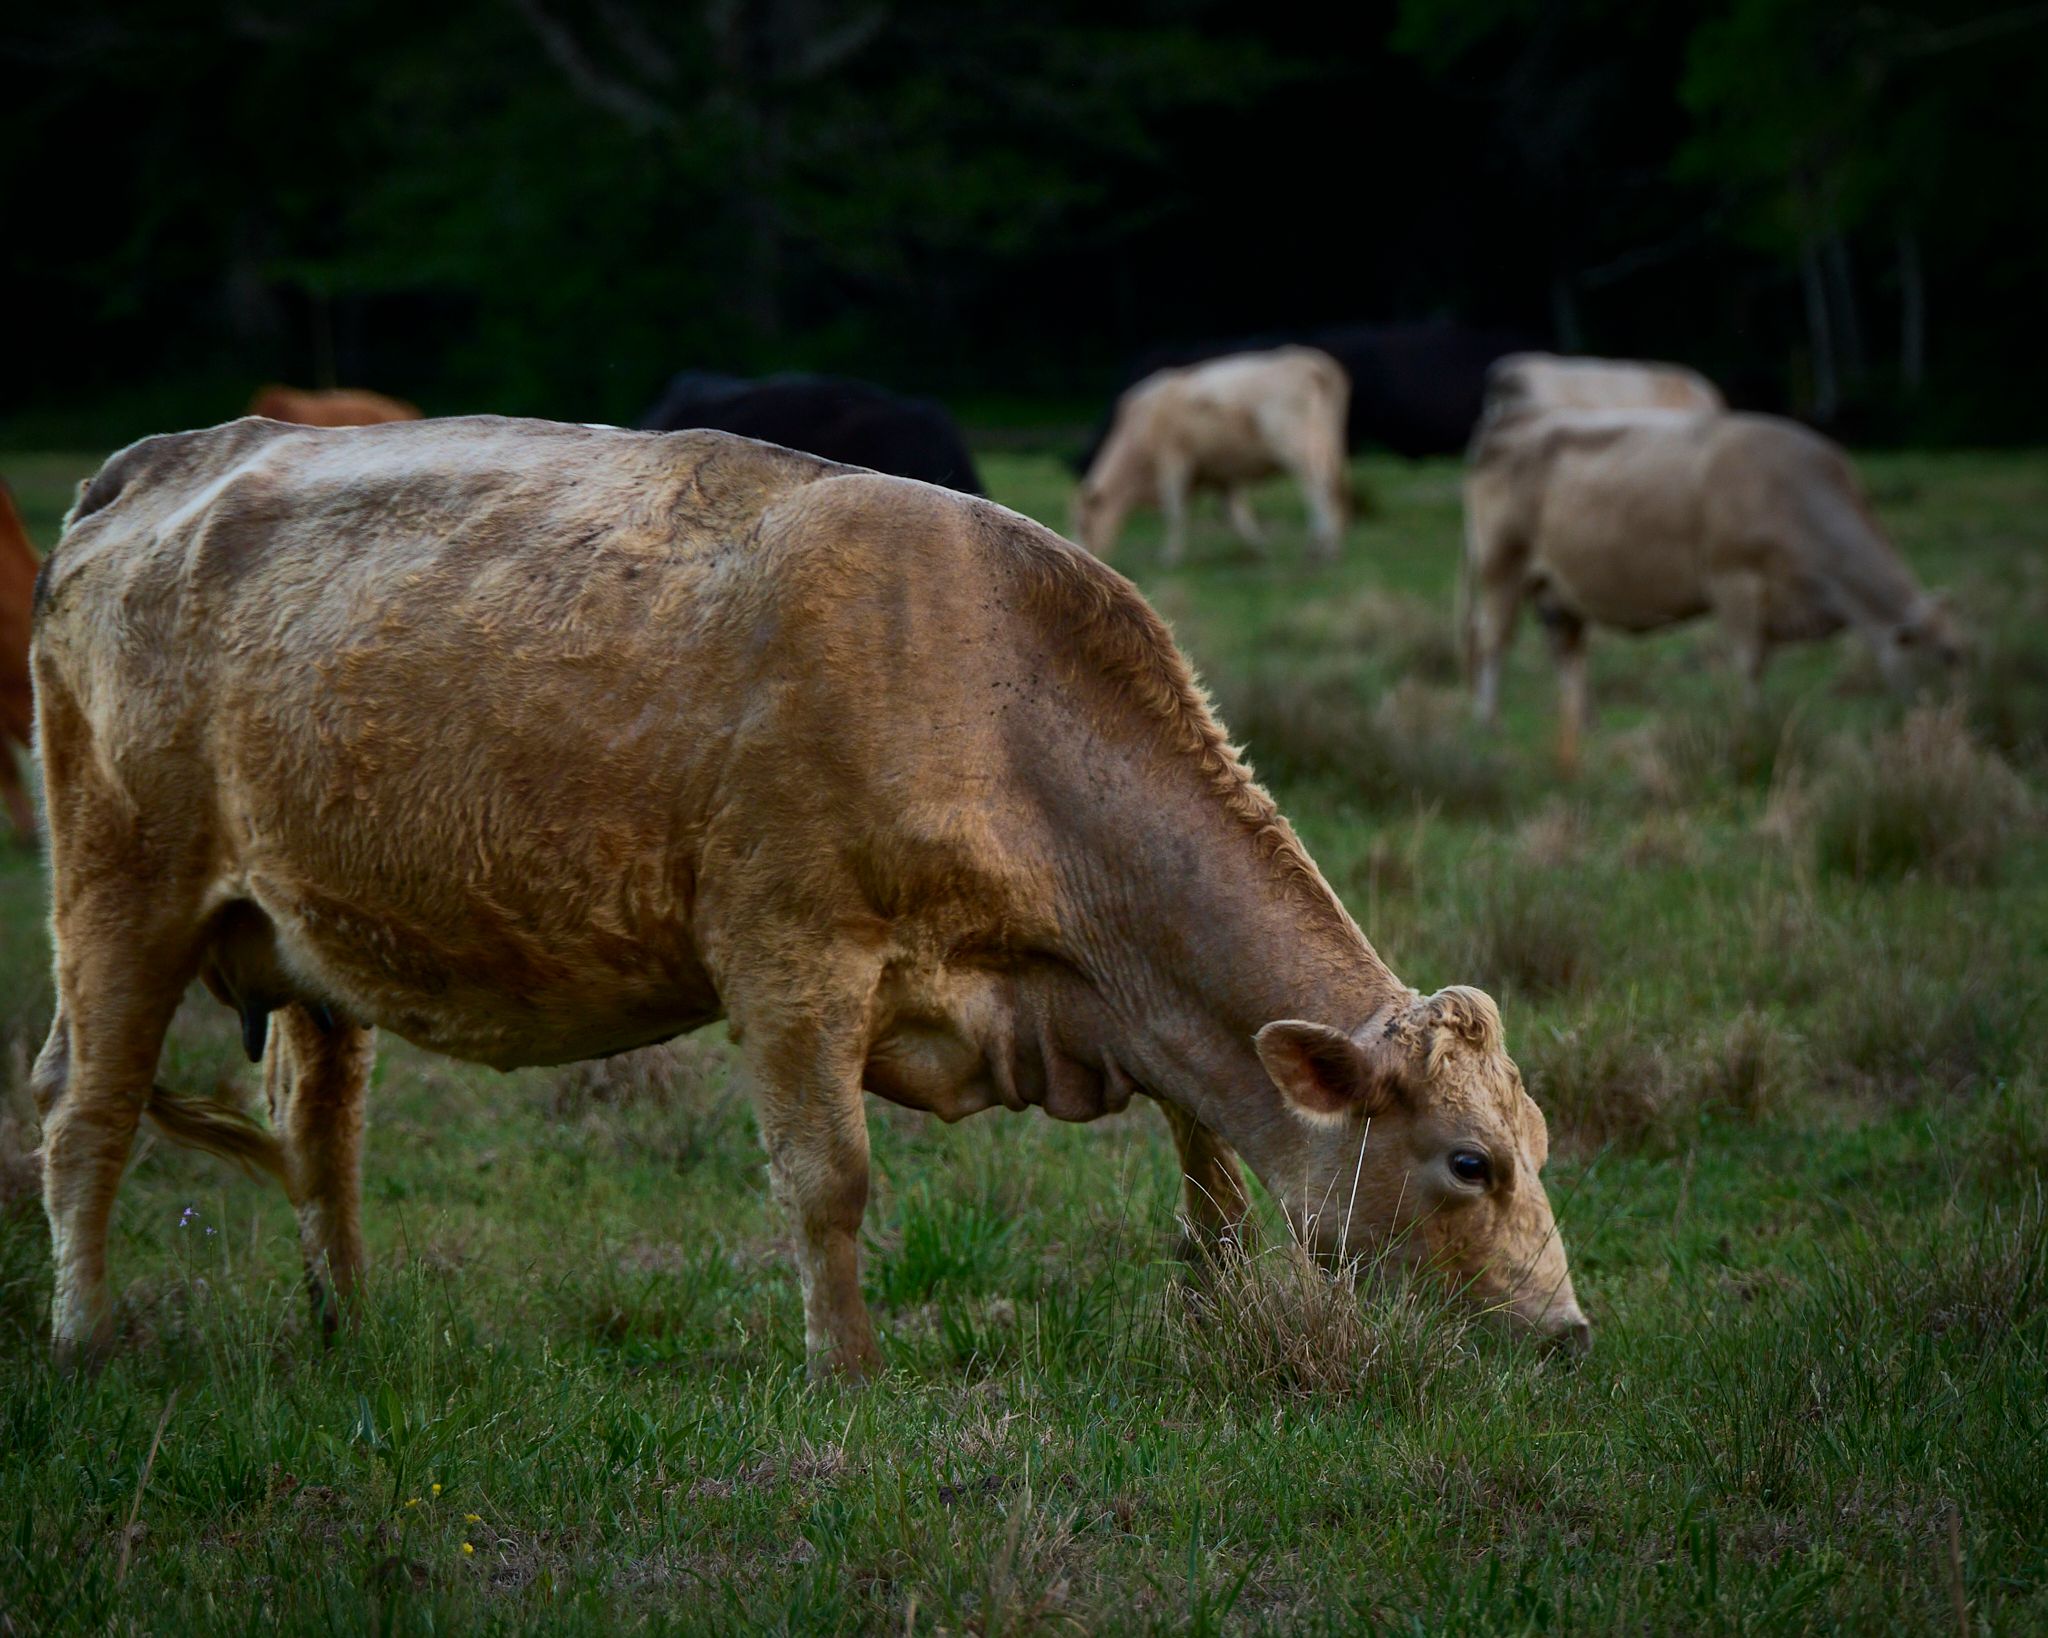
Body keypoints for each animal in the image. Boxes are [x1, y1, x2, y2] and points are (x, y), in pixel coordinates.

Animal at [30, 415, 1587, 1371]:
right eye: (1469, 1162)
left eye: (1539, 1143)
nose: (1567, 1331)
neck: (997, 698)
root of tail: (162, 462)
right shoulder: (788, 958)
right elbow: (827, 1180)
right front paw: (846, 1369)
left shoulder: (1116, 1009)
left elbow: (1210, 1159)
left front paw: (1213, 1303)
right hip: (120, 890)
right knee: (84, 1112)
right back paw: (84, 1336)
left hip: (309, 942)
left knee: (320, 1132)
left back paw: (348, 1320)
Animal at [1074, 348, 1351, 565]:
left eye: (1084, 524)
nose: (1083, 554)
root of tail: (1308, 362)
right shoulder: (1221, 475)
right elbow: (1236, 513)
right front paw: (1258, 546)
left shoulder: (1172, 461)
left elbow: (1175, 511)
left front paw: (1170, 556)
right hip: (1328, 445)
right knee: (1334, 488)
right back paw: (1333, 546)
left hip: (1297, 449)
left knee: (1316, 489)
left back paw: (1318, 546)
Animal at [1464, 408, 1962, 768]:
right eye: (1946, 656)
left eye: (1965, 652)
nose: (1959, 723)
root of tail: (1509, 429)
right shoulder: (1733, 580)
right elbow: (1750, 662)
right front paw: (1755, 726)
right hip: (1501, 567)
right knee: (1493, 641)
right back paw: (1489, 721)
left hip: (1558, 589)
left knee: (1566, 653)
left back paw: (1587, 723)